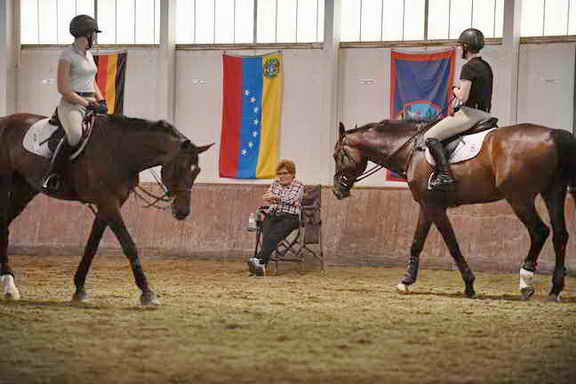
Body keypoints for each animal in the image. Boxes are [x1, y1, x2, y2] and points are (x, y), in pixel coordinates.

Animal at [0, 112, 213, 306]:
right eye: (180, 167)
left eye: (197, 171)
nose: (183, 212)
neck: (121, 151)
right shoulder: (109, 203)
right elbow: (128, 245)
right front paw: (147, 293)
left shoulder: (108, 204)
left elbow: (92, 245)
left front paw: (79, 288)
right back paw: (9, 286)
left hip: (25, 188)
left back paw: (9, 284)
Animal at [332, 121, 576, 302]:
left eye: (337, 155)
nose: (336, 190)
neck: (410, 150)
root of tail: (554, 134)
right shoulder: (427, 205)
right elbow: (417, 242)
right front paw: (407, 281)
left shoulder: (434, 207)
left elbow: (451, 244)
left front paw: (468, 284)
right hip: (553, 193)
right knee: (560, 235)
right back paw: (555, 289)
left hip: (519, 197)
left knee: (540, 231)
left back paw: (525, 283)